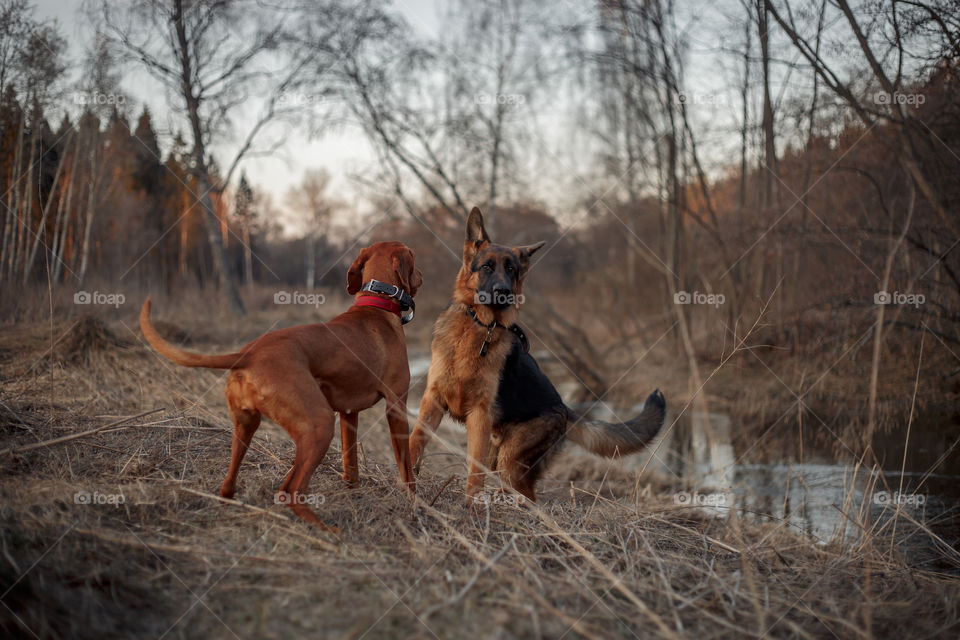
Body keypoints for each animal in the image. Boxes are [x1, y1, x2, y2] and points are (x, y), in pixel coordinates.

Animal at [138, 240, 420, 528]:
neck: (377, 305)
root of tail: (248, 354)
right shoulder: (396, 406)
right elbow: (406, 467)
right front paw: (415, 504)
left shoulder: (348, 414)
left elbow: (350, 465)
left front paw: (355, 495)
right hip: (319, 425)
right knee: (290, 490)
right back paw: (327, 530)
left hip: (248, 426)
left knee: (230, 483)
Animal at [406, 208, 668, 502]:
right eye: (487, 267)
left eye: (511, 270)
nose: (504, 292)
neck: (480, 327)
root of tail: (565, 408)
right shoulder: (433, 399)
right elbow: (415, 439)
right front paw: (407, 482)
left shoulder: (479, 416)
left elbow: (474, 470)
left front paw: (471, 503)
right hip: (498, 452)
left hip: (510, 458)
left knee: (527, 492)